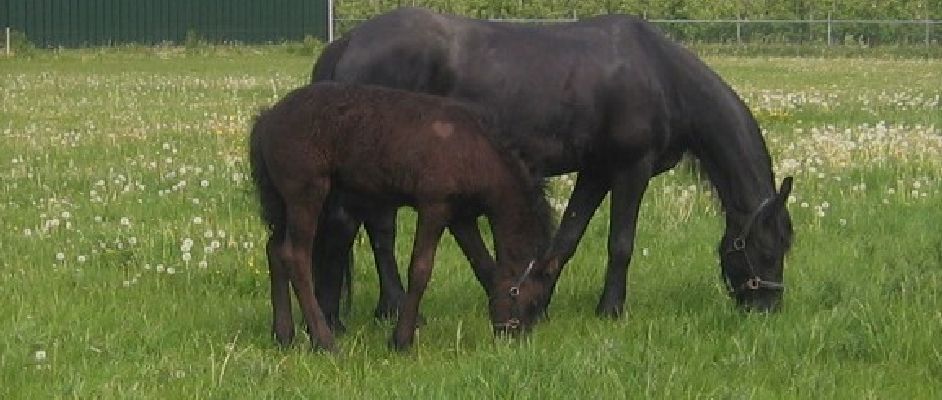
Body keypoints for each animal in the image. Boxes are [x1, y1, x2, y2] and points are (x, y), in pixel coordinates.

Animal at [251, 83, 560, 352]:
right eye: (532, 301)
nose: (513, 334)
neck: (476, 152)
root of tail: (266, 119)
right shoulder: (435, 206)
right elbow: (421, 269)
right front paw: (401, 340)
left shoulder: (461, 217)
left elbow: (483, 265)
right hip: (306, 194)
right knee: (295, 256)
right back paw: (324, 342)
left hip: (281, 202)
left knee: (275, 250)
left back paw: (284, 335)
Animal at [312, 7, 796, 320]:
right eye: (768, 249)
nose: (768, 309)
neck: (660, 76)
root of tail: (349, 43)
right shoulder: (631, 169)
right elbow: (620, 243)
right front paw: (610, 310)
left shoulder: (597, 171)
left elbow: (569, 237)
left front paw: (540, 302)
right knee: (374, 231)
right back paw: (391, 308)